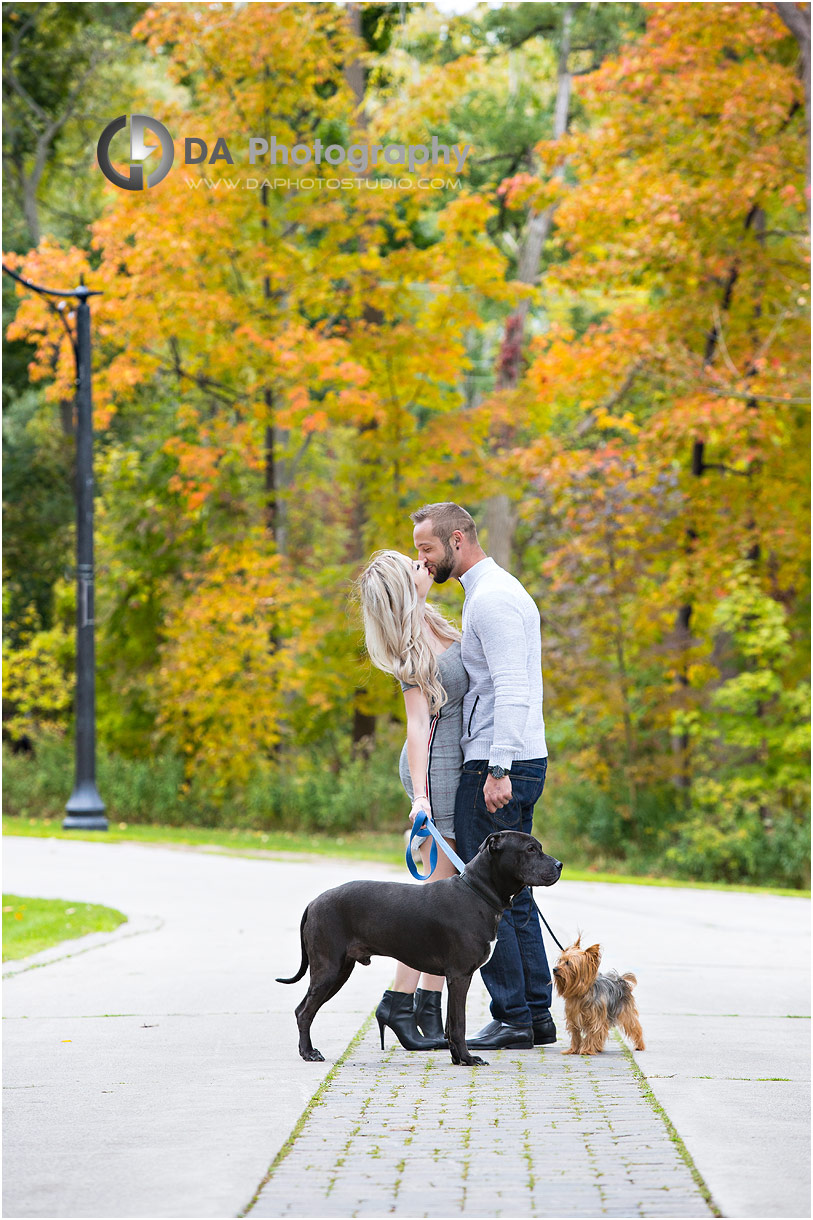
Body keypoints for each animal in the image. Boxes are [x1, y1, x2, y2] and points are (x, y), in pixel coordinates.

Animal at [275, 829, 561, 1068]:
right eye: (530, 849)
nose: (559, 865)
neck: (477, 892)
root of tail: (314, 902)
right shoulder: (460, 976)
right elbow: (459, 1023)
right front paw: (468, 1059)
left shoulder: (455, 978)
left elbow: (450, 1024)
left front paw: (457, 1058)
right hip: (328, 969)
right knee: (304, 1012)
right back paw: (309, 1052)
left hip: (340, 971)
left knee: (304, 1009)